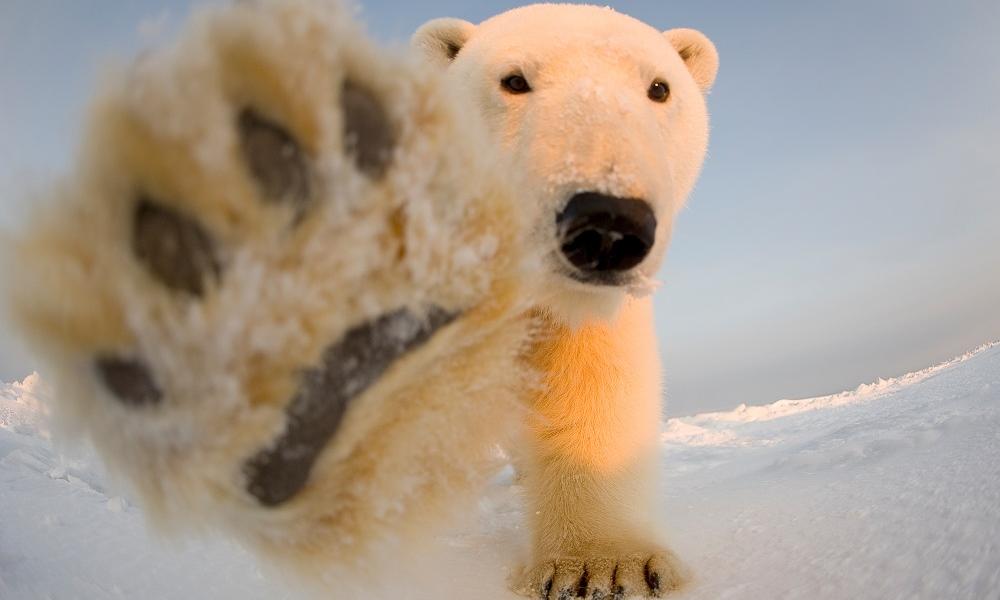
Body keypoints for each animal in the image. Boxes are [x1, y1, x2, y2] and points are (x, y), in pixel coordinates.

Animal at [413, 5, 717, 598]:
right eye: (513, 80)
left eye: (659, 87)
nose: (608, 224)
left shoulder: (573, 305)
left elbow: (587, 382)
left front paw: (605, 568)